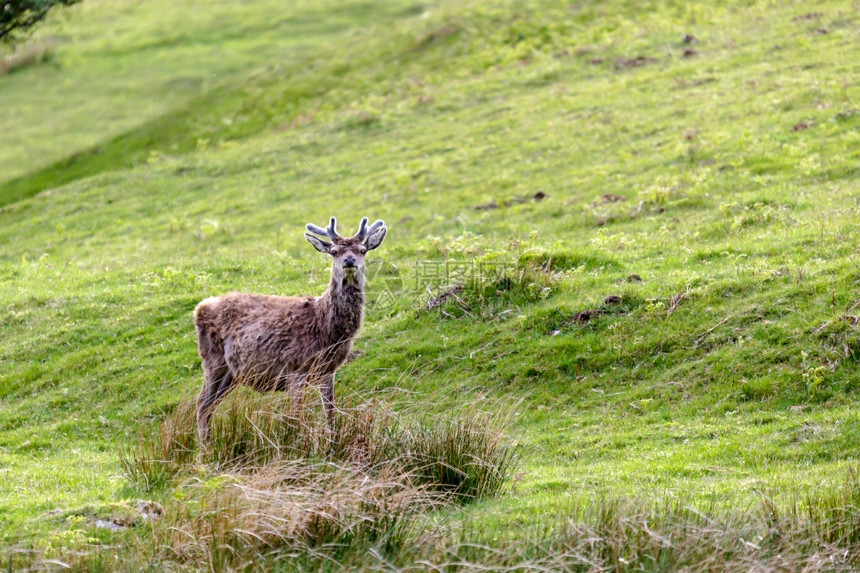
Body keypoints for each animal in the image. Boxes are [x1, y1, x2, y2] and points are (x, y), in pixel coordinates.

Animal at [195, 214, 386, 442]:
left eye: (362, 249)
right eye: (334, 251)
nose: (350, 261)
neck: (325, 329)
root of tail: (199, 309)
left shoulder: (328, 370)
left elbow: (330, 413)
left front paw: (332, 443)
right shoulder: (295, 367)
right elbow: (296, 418)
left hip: (231, 373)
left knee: (209, 407)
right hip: (213, 362)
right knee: (201, 405)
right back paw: (205, 449)